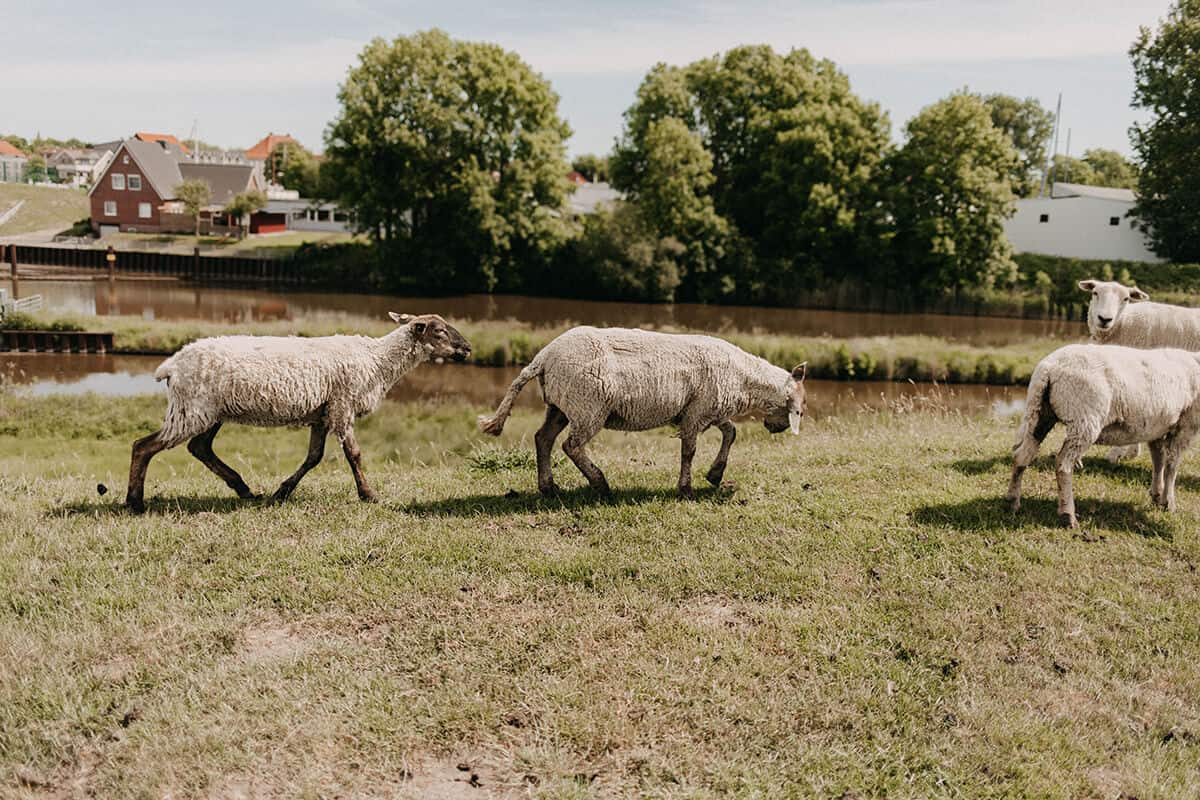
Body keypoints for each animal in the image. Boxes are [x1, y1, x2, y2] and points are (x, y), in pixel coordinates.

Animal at [125, 311, 472, 513]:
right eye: (440, 331)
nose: (468, 349)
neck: (377, 361)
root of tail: (171, 365)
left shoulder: (322, 413)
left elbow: (314, 457)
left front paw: (282, 492)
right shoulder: (343, 405)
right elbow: (354, 454)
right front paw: (368, 495)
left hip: (209, 411)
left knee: (200, 448)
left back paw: (244, 490)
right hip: (191, 409)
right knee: (143, 447)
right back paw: (134, 502)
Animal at [477, 323, 806, 496]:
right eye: (800, 411)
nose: (775, 428)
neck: (745, 380)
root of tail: (543, 356)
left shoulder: (707, 410)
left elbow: (731, 432)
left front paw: (715, 474)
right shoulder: (698, 413)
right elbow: (689, 451)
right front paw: (685, 488)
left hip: (562, 404)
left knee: (543, 438)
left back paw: (548, 487)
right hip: (589, 406)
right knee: (571, 445)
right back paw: (600, 483)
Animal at [1003, 340, 1200, 527]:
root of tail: (1049, 367)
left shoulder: (1158, 428)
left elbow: (1158, 461)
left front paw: (1157, 496)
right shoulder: (1186, 426)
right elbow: (1172, 467)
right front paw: (1169, 503)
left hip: (1039, 412)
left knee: (1021, 455)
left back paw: (1012, 502)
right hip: (1084, 419)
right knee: (1063, 464)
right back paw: (1068, 515)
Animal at [1080, 280, 1200, 462]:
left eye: (1126, 298)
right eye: (1095, 293)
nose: (1105, 319)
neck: (1124, 323)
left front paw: (1118, 453)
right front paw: (1130, 452)